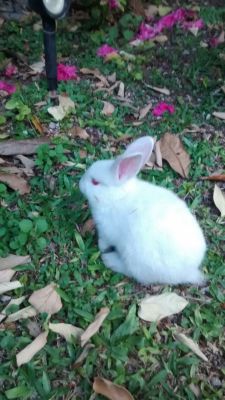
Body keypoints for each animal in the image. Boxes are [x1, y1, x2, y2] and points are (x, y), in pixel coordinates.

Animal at [79, 137, 206, 284]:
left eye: (95, 182)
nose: (80, 184)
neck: (116, 196)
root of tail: (189, 272)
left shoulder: (107, 232)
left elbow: (105, 241)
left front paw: (101, 247)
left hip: (135, 258)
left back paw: (110, 260)